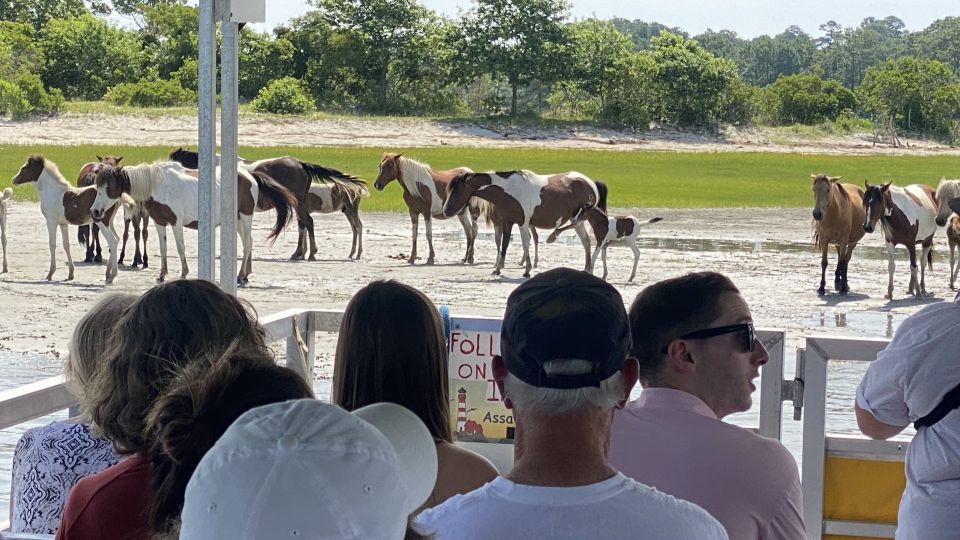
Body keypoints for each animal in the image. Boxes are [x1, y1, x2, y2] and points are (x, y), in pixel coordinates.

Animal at [90, 161, 294, 284]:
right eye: (97, 186)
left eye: (108, 187)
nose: (95, 211)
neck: (158, 185)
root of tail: (249, 175)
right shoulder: (159, 222)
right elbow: (163, 248)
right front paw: (162, 274)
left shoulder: (176, 222)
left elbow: (180, 248)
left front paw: (184, 273)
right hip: (236, 220)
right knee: (247, 243)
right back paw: (245, 275)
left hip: (245, 217)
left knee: (247, 244)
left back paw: (240, 275)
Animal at [442, 170, 608, 278]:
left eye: (457, 190)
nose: (445, 210)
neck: (509, 190)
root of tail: (591, 182)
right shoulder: (508, 222)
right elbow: (504, 244)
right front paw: (498, 269)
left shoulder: (523, 222)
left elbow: (525, 243)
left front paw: (527, 270)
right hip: (579, 221)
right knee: (586, 242)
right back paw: (586, 269)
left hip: (580, 217)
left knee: (579, 234)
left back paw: (553, 237)